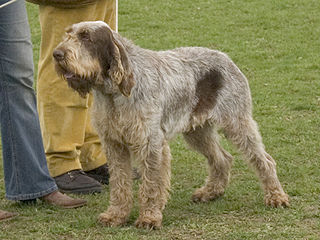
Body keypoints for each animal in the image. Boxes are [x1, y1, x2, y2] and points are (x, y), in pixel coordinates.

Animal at [53, 21, 290, 229]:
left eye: (86, 37)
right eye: (68, 34)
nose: (57, 54)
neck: (113, 94)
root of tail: (226, 57)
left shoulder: (151, 144)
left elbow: (150, 186)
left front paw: (149, 218)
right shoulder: (114, 145)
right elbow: (120, 185)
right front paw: (116, 216)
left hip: (237, 123)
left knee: (264, 161)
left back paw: (276, 196)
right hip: (197, 132)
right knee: (222, 158)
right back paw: (210, 192)